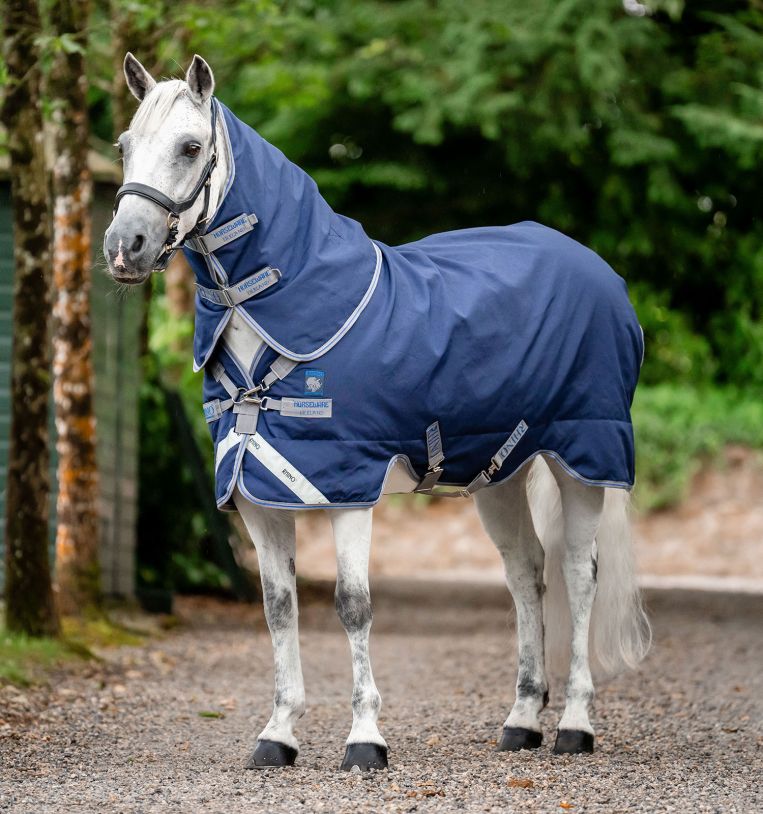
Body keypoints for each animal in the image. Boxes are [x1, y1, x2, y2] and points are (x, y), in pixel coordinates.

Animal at [104, 53, 650, 772]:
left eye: (191, 147)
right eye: (125, 145)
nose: (125, 247)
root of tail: (600, 273)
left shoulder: (346, 488)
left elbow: (353, 605)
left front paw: (364, 738)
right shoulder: (256, 493)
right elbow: (279, 608)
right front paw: (277, 734)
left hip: (582, 460)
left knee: (578, 576)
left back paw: (574, 726)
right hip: (500, 475)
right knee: (525, 575)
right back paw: (521, 721)